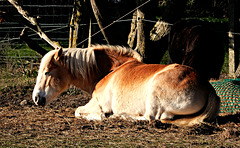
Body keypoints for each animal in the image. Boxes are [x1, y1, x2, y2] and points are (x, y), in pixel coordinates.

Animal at [32, 44, 220, 126]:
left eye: (47, 72)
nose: (36, 98)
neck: (110, 70)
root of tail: (207, 86)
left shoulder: (97, 103)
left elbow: (78, 111)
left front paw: (101, 116)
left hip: (154, 96)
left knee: (150, 118)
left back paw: (118, 116)